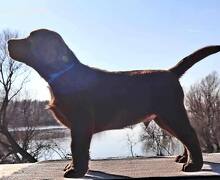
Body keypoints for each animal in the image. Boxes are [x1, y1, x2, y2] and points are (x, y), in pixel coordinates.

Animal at [7, 28, 220, 178]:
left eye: (30, 38)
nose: (9, 42)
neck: (63, 75)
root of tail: (171, 72)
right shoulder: (79, 126)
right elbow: (81, 150)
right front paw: (76, 167)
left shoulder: (80, 122)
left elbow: (77, 148)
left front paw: (76, 171)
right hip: (164, 117)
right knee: (184, 137)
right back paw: (185, 158)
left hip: (171, 112)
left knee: (190, 135)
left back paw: (194, 165)